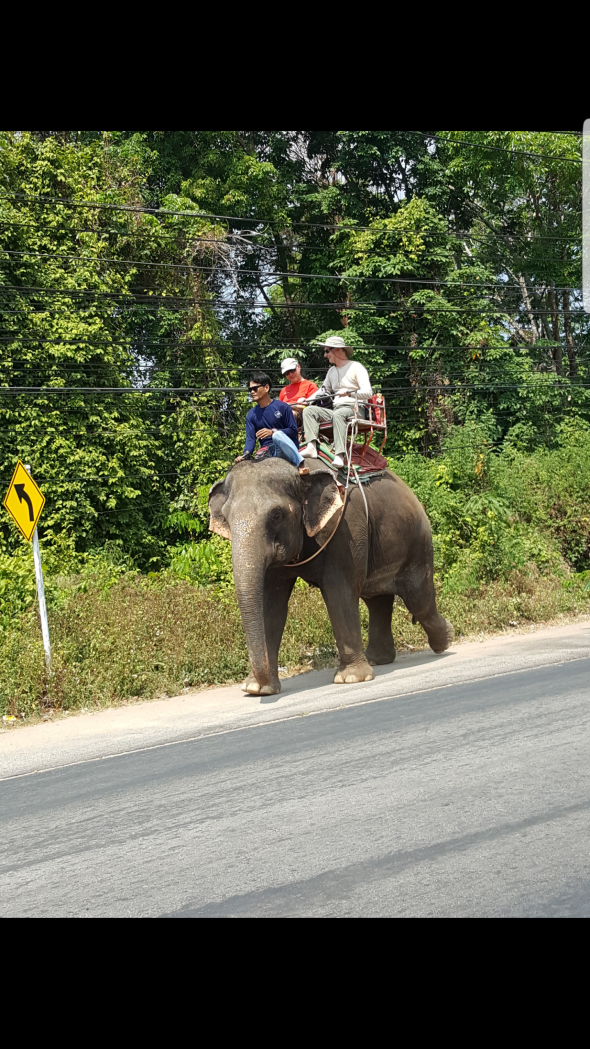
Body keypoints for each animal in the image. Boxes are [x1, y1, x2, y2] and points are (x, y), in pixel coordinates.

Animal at [208, 459, 451, 696]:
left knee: (418, 598)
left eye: (277, 515)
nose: (260, 681)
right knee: (377, 600)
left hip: (417, 543)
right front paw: (256, 689)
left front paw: (351, 678)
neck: (299, 471)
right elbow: (270, 605)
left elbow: (338, 593)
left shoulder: (343, 530)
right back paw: (378, 659)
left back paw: (445, 640)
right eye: (226, 518)